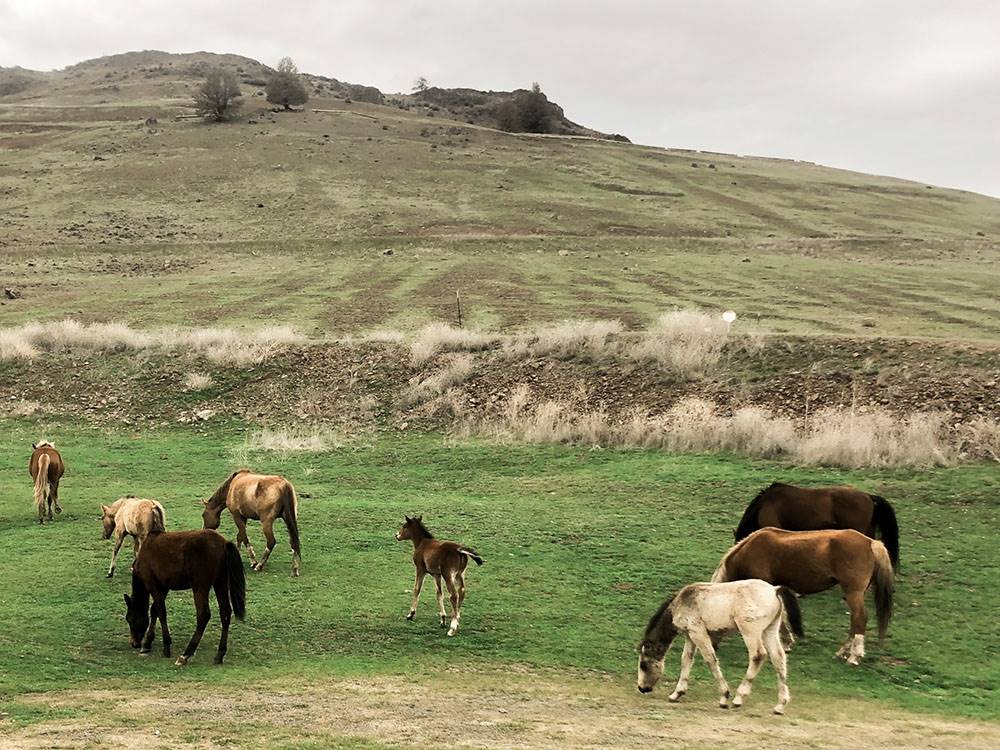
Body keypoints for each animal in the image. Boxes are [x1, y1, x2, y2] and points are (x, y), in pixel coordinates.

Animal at [125, 532, 246, 668]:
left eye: (130, 619)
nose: (134, 643)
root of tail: (223, 543)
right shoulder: (164, 587)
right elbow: (154, 610)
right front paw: (148, 642)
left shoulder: (152, 584)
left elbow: (161, 612)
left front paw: (166, 646)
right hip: (220, 583)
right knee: (225, 614)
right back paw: (219, 654)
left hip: (200, 587)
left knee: (203, 616)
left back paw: (186, 654)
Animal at [640, 580, 804, 716]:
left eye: (643, 665)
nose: (642, 688)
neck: (682, 602)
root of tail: (774, 590)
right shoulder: (690, 636)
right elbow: (686, 660)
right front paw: (676, 694)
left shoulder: (698, 632)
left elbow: (710, 659)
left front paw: (724, 697)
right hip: (769, 630)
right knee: (778, 658)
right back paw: (780, 705)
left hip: (750, 631)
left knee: (758, 655)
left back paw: (738, 698)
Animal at [708, 524, 896, 668]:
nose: (712, 648)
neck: (749, 551)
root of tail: (871, 542)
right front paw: (786, 641)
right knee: (855, 620)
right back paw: (843, 652)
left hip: (853, 592)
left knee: (859, 618)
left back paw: (854, 656)